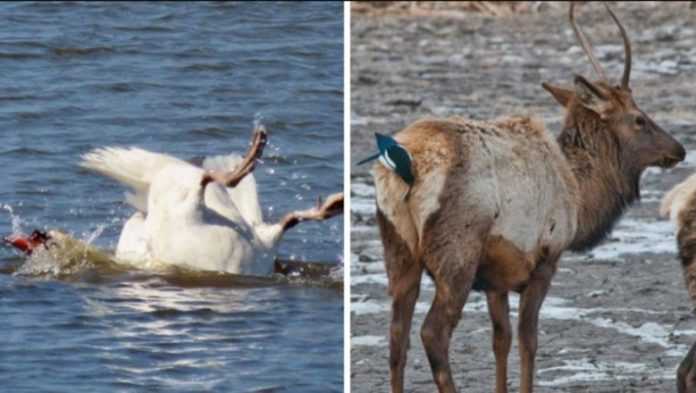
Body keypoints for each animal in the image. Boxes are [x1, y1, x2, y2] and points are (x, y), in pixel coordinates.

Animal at [370, 3, 684, 392]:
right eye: (639, 119)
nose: (679, 149)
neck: (581, 197)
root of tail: (402, 168)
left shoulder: (496, 277)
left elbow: (500, 340)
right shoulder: (545, 260)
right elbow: (528, 340)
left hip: (398, 249)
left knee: (396, 336)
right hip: (457, 253)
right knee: (432, 333)